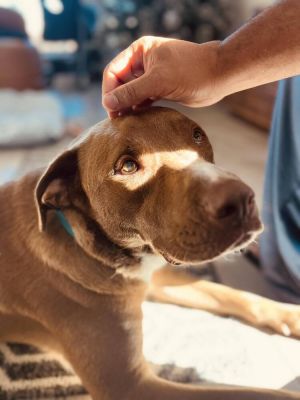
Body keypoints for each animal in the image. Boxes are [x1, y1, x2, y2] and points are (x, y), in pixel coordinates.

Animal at [0, 107, 300, 400]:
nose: (241, 199)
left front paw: (291, 315)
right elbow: (263, 394)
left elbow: (231, 293)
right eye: (127, 166)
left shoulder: (155, 277)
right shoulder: (131, 386)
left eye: (197, 135)